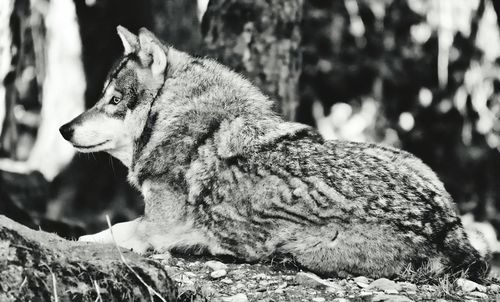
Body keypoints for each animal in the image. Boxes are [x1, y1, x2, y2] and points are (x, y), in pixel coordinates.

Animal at [59, 26, 488, 280]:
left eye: (114, 100)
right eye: (102, 96)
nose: (64, 129)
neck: (178, 120)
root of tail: (448, 227)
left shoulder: (157, 228)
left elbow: (111, 230)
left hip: (309, 247)